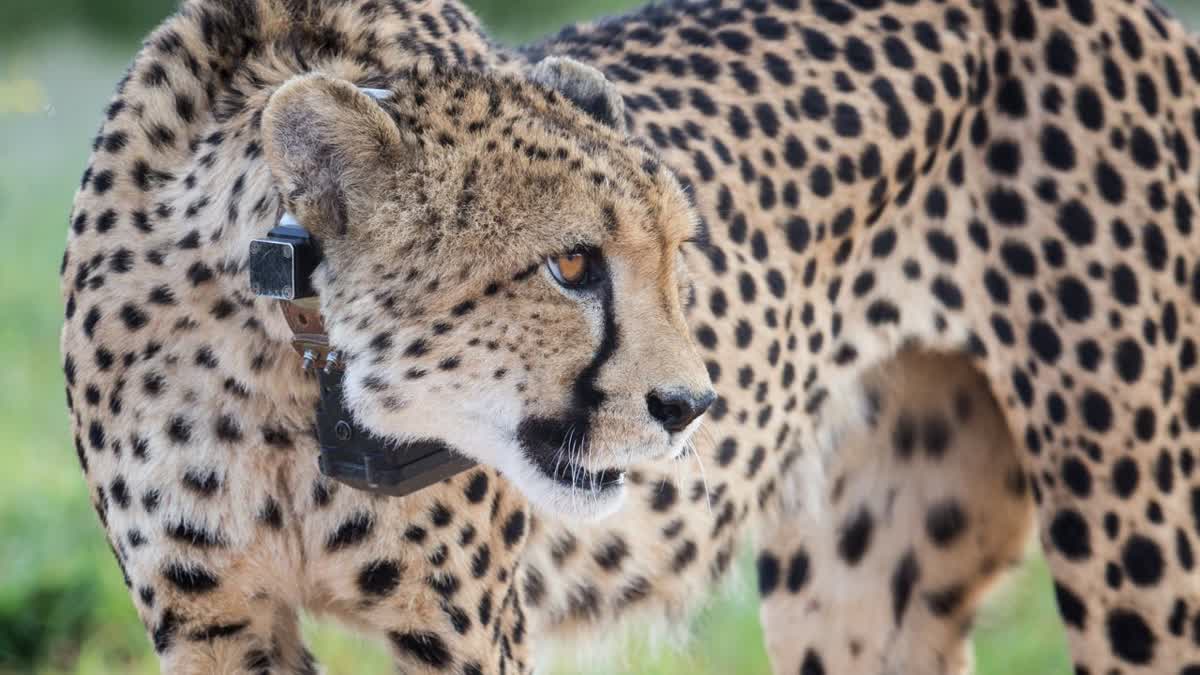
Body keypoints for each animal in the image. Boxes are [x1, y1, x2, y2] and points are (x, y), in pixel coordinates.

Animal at [63, 1, 1200, 672]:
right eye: (570, 266)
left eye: (675, 256)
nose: (690, 406)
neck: (274, 364)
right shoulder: (213, 620)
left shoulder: (463, 632)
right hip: (858, 584)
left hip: (1137, 546)